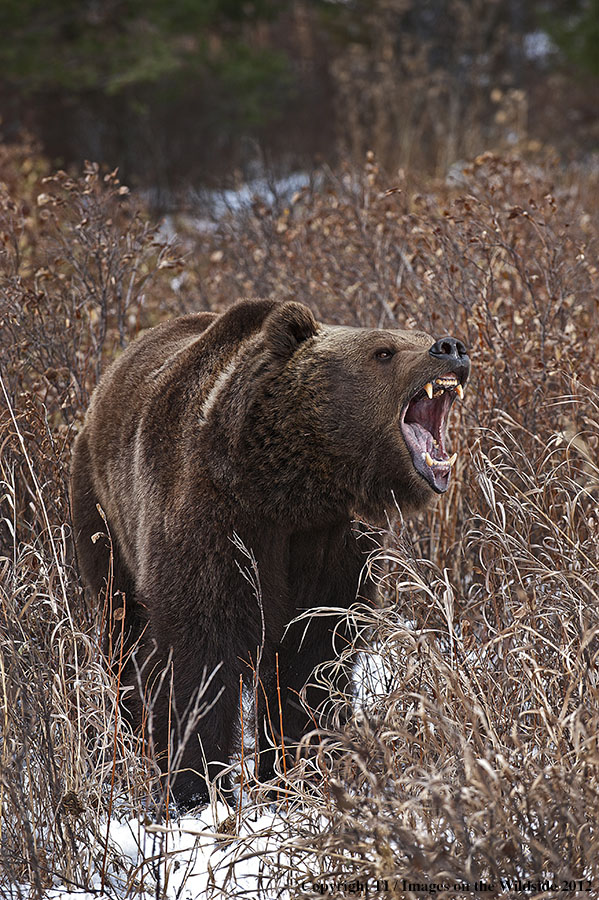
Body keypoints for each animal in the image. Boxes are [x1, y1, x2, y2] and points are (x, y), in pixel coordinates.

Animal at [71, 298, 468, 804]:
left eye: (420, 336)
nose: (450, 347)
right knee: (123, 631)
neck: (289, 488)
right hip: (104, 518)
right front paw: (196, 788)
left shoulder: (331, 546)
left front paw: (297, 770)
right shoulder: (216, 528)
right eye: (384, 351)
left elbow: (310, 661)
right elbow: (198, 656)